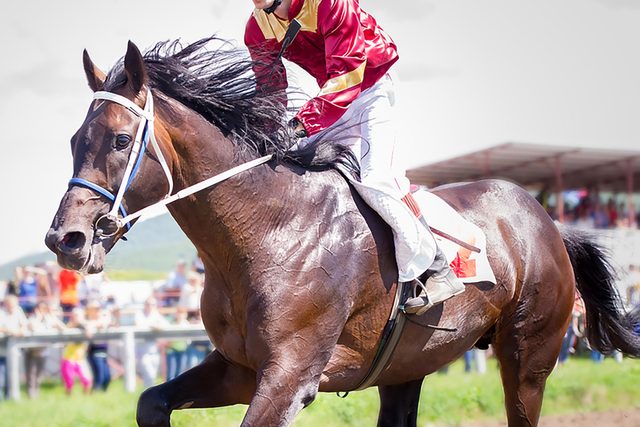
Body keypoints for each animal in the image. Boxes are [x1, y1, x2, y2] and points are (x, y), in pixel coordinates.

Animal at [44, 38, 640, 426]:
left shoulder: (290, 375)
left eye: (121, 140)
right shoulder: (240, 367)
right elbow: (150, 403)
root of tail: (548, 221)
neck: (267, 230)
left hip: (528, 357)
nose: (65, 240)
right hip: (408, 364)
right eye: (74, 139)